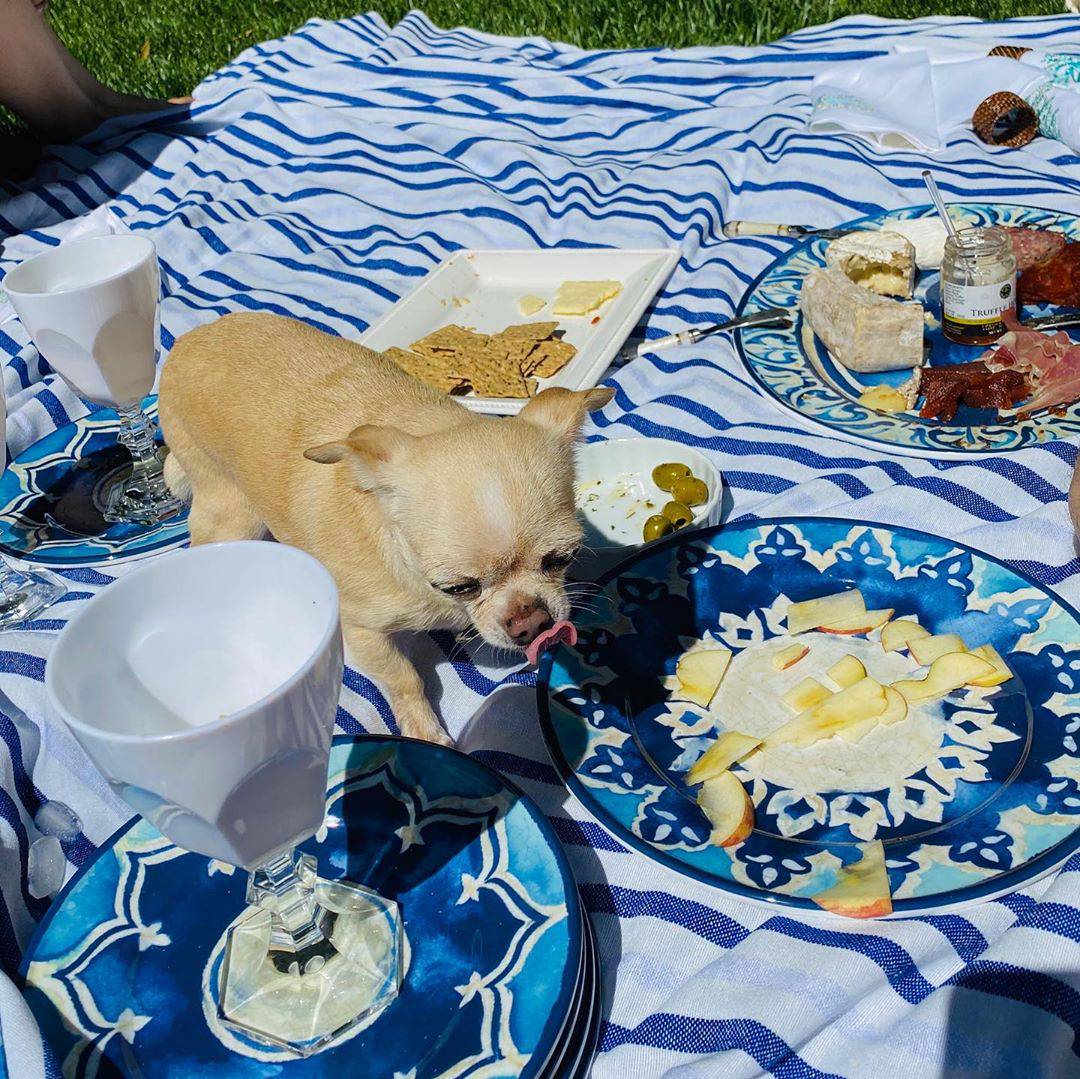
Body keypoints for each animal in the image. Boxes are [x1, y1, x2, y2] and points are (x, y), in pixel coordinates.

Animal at [157, 315, 613, 747]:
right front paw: (424, 730)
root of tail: (189, 341)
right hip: (232, 512)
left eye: (563, 558)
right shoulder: (359, 632)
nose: (531, 622)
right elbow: (404, 678)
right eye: (458, 587)